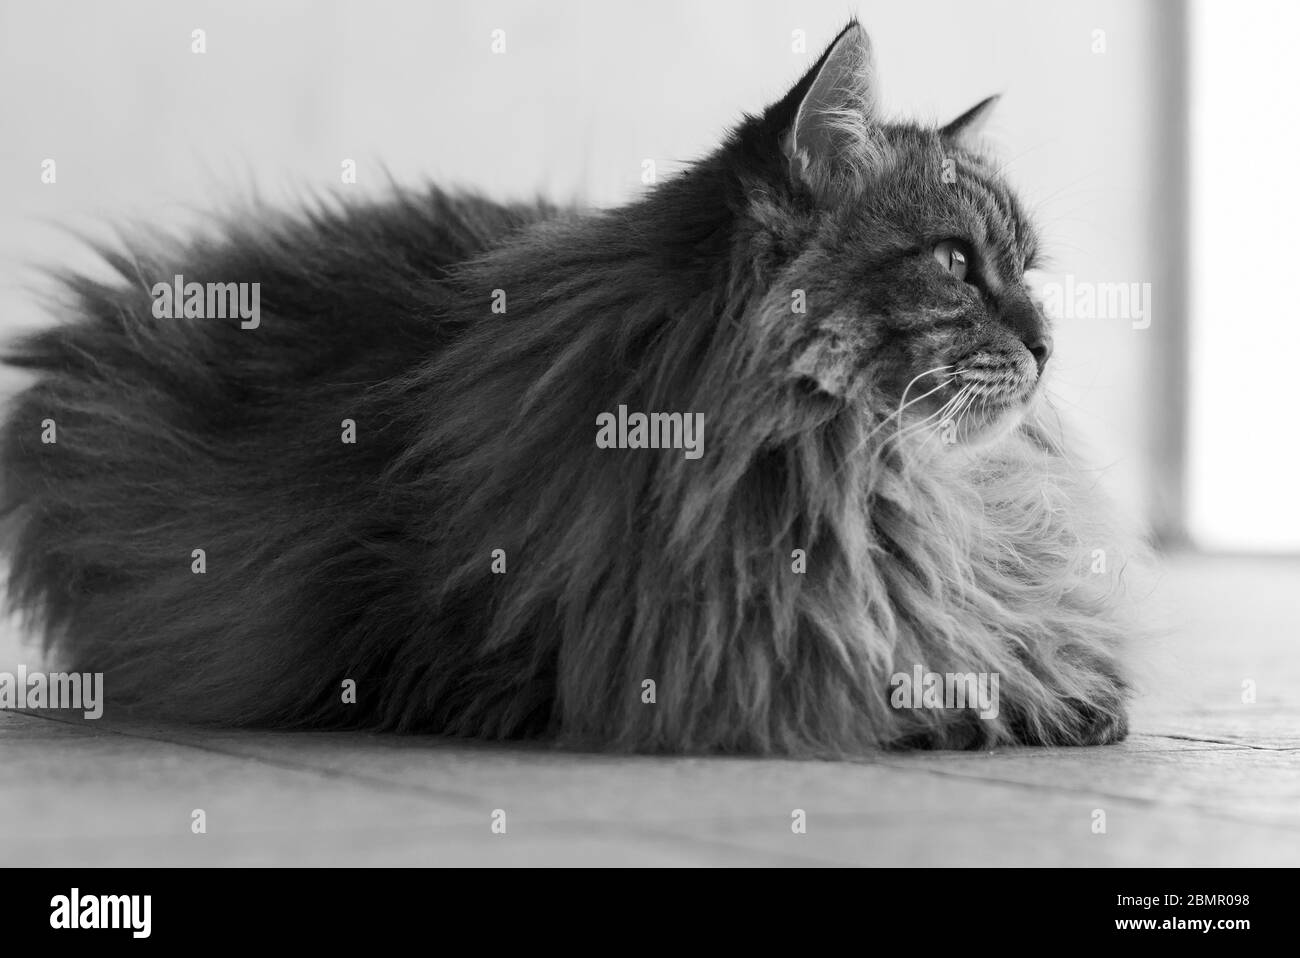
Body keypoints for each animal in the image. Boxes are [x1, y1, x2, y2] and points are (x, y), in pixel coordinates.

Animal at [0, 22, 1138, 748]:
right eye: (954, 263)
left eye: (1027, 271)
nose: (1047, 346)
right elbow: (861, 677)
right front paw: (966, 703)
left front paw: (1061, 694)